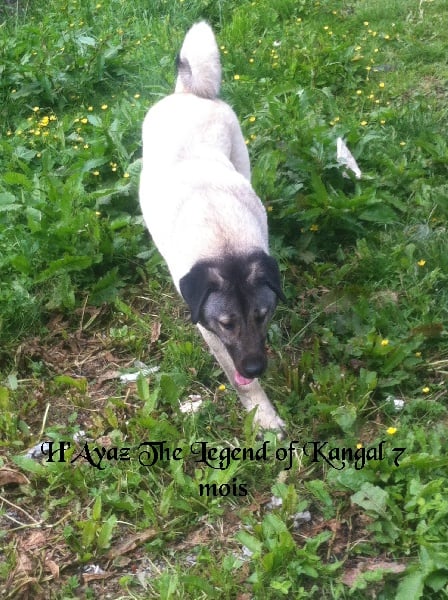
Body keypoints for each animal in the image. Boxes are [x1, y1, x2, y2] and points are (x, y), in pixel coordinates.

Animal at [139, 22, 285, 432]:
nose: (255, 368)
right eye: (227, 323)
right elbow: (236, 380)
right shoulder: (208, 330)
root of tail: (190, 93)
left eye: (263, 315)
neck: (225, 244)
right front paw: (263, 415)